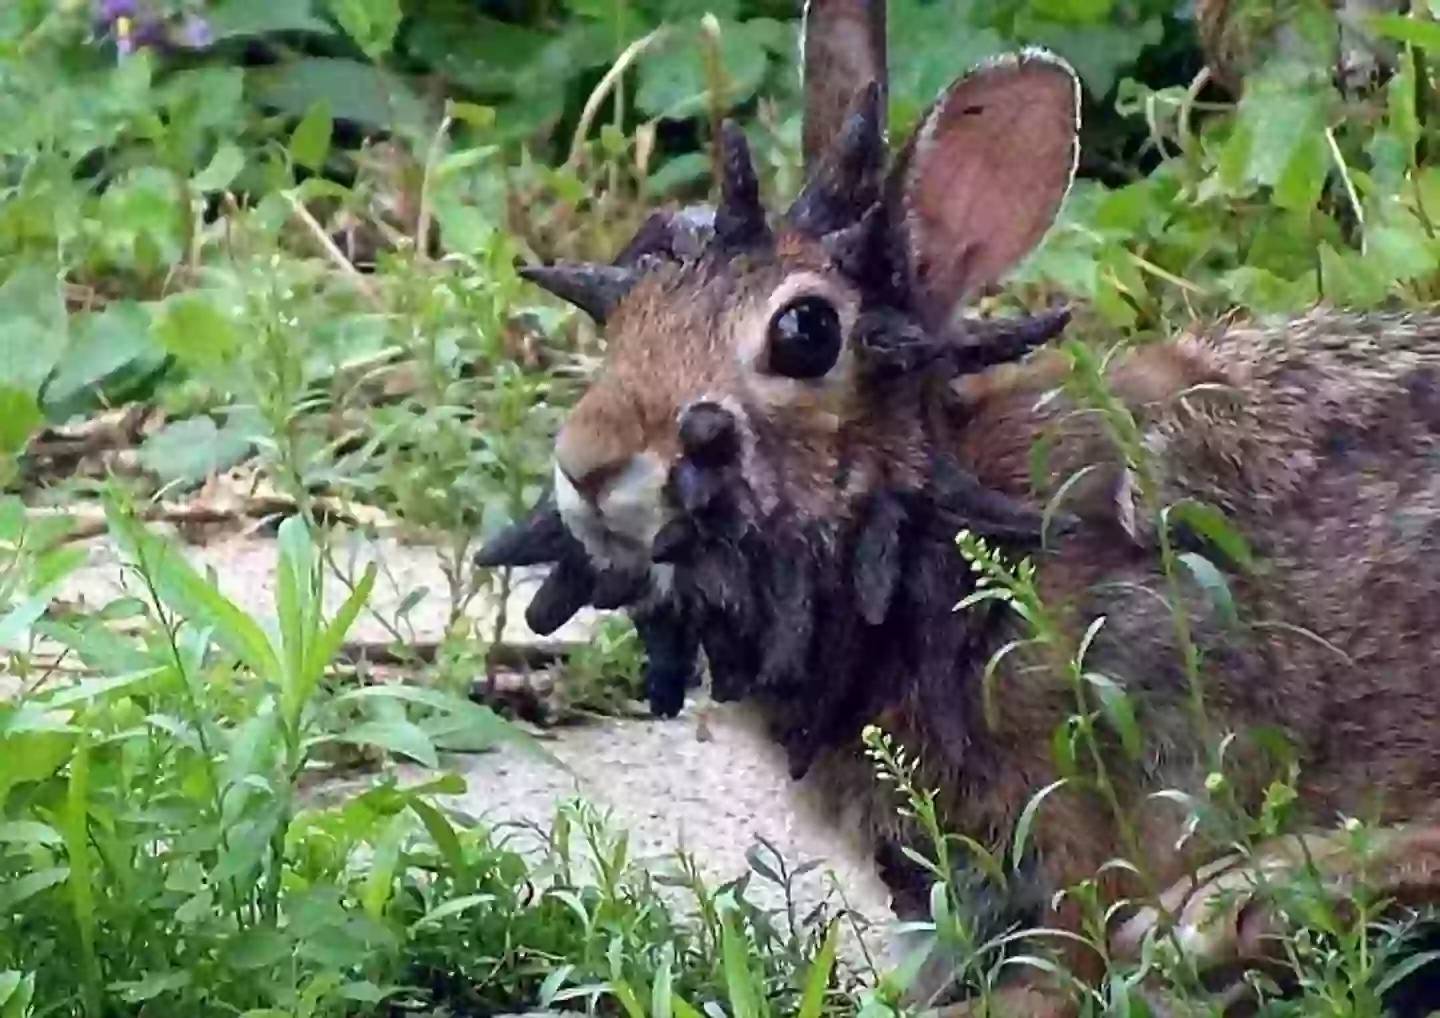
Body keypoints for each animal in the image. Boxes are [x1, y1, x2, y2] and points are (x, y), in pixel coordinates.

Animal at [475, 0, 1440, 1013]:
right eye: (628, 313)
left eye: (805, 333)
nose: (585, 464)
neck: (936, 538)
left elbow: (1067, 951)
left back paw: (1237, 906)